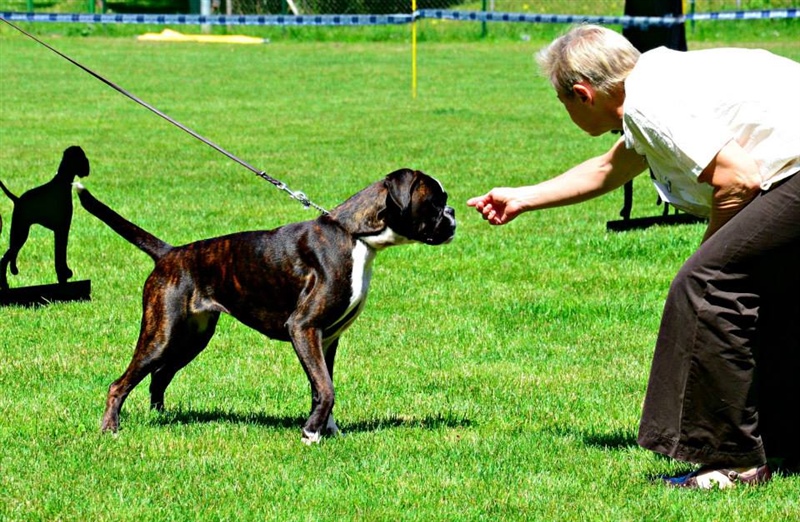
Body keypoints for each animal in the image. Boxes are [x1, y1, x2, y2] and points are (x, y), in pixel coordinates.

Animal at [76, 168, 456, 442]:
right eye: (436, 202)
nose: (452, 215)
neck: (354, 236)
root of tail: (170, 253)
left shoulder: (327, 339)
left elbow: (321, 385)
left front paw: (327, 430)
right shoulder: (304, 328)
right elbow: (326, 388)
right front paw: (310, 434)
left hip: (191, 338)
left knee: (159, 375)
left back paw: (162, 417)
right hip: (162, 333)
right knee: (121, 383)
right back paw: (110, 430)